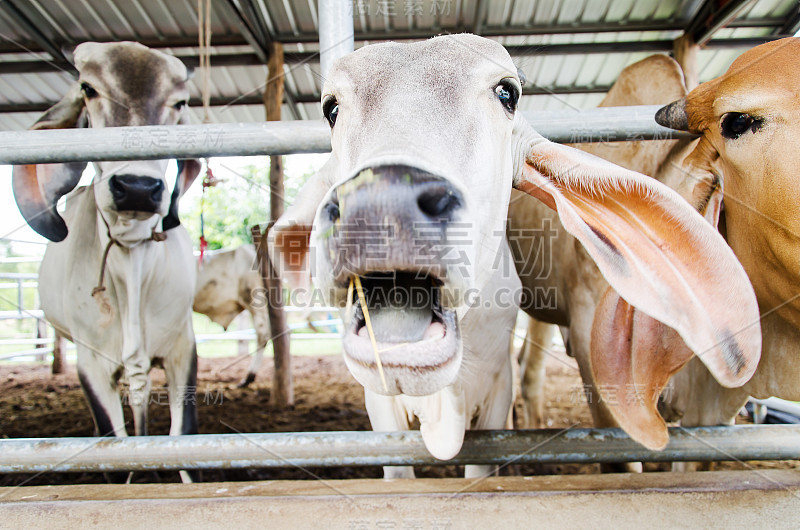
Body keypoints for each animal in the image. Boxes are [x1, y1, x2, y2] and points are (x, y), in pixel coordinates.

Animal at [11, 43, 203, 462]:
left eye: (179, 102)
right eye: (88, 89)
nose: (137, 188)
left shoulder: (183, 347)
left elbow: (183, 435)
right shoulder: (92, 365)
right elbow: (115, 442)